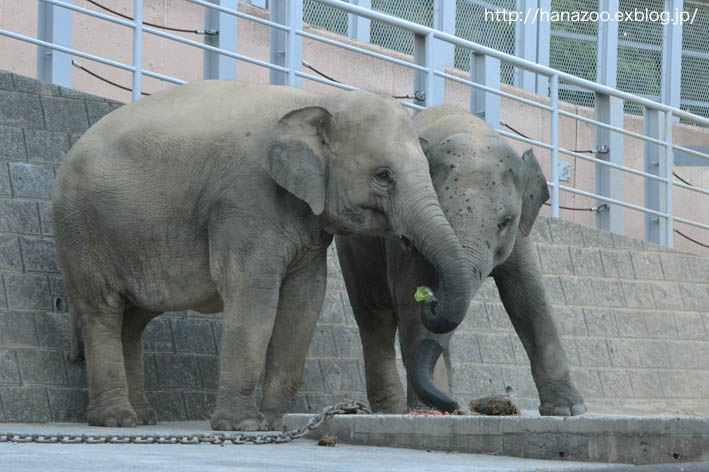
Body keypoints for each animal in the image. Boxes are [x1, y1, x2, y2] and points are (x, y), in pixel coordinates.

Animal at [52, 82, 472, 432]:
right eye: (383, 175)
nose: (429, 300)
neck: (317, 98)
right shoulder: (245, 199)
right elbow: (253, 295)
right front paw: (241, 427)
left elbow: (305, 302)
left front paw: (274, 424)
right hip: (82, 231)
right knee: (102, 311)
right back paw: (116, 420)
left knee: (133, 320)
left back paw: (141, 417)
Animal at [334, 104, 584, 416]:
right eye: (441, 210)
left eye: (505, 222)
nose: (431, 300)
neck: (472, 131)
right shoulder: (405, 234)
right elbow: (410, 304)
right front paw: (427, 410)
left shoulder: (520, 237)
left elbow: (529, 298)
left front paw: (568, 410)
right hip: (354, 243)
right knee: (373, 315)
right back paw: (392, 410)